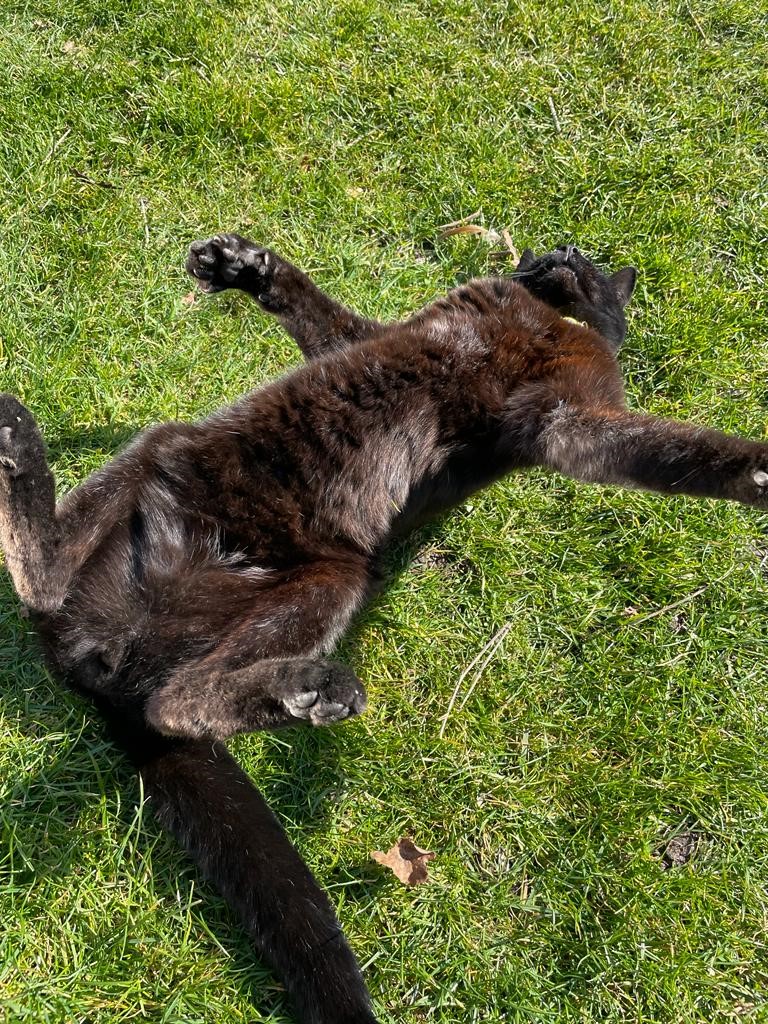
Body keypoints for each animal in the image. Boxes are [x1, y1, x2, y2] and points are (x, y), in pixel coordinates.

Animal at [1, 234, 768, 1024]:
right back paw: (23, 450)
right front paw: (246, 266)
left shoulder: (565, 416)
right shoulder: (385, 336)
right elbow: (321, 314)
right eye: (562, 251)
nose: (557, 252)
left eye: (582, 261)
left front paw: (757, 472)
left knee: (170, 700)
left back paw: (304, 689)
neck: (545, 317)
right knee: (58, 590)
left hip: (328, 577)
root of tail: (103, 667)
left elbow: (670, 449)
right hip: (175, 454)